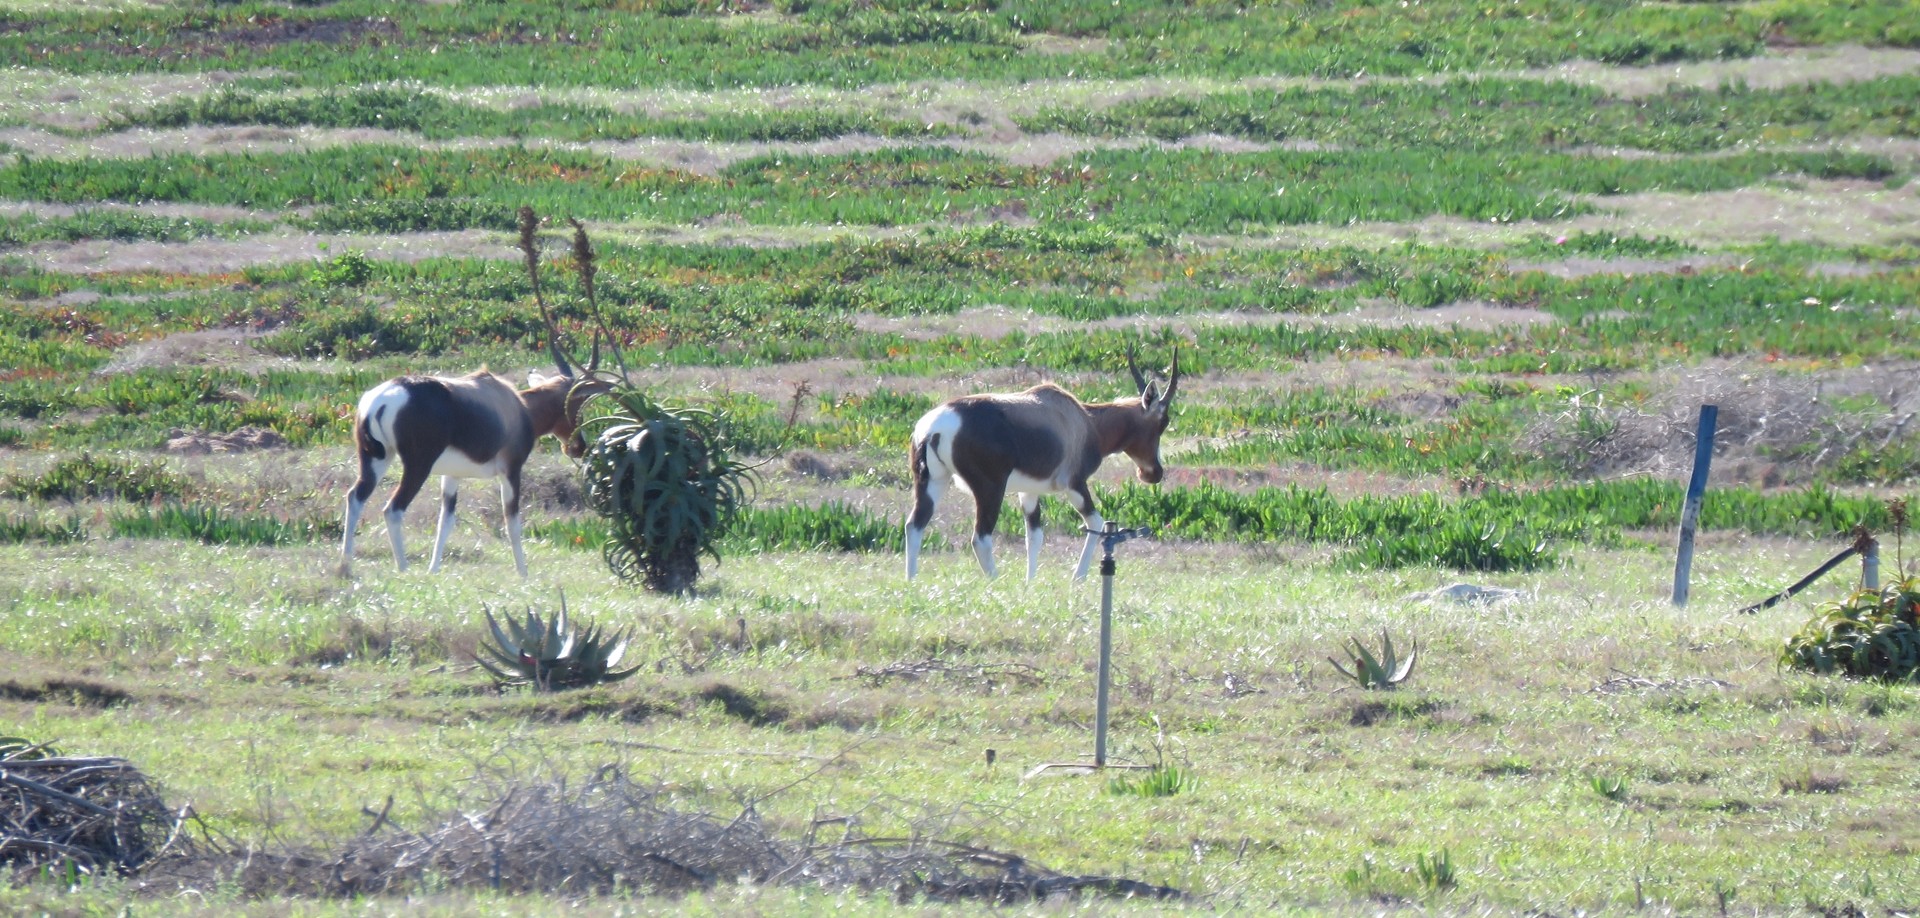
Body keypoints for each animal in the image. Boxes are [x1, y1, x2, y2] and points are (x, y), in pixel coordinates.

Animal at [339, 335, 610, 578]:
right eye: (578, 403)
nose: (578, 447)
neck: (515, 405)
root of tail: (381, 400)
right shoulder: (511, 471)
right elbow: (512, 521)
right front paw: (523, 574)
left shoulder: (451, 476)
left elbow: (445, 523)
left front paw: (433, 570)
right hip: (417, 466)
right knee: (393, 509)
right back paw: (403, 568)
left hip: (375, 459)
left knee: (355, 497)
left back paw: (346, 564)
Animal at [904, 348, 1179, 582]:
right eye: (1162, 422)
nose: (1153, 473)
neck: (1082, 419)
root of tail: (934, 428)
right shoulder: (1075, 484)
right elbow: (1096, 523)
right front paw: (1077, 578)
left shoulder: (1029, 492)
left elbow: (1034, 536)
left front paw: (1030, 583)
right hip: (990, 489)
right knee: (980, 538)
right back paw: (995, 582)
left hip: (932, 481)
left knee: (914, 526)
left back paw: (912, 582)